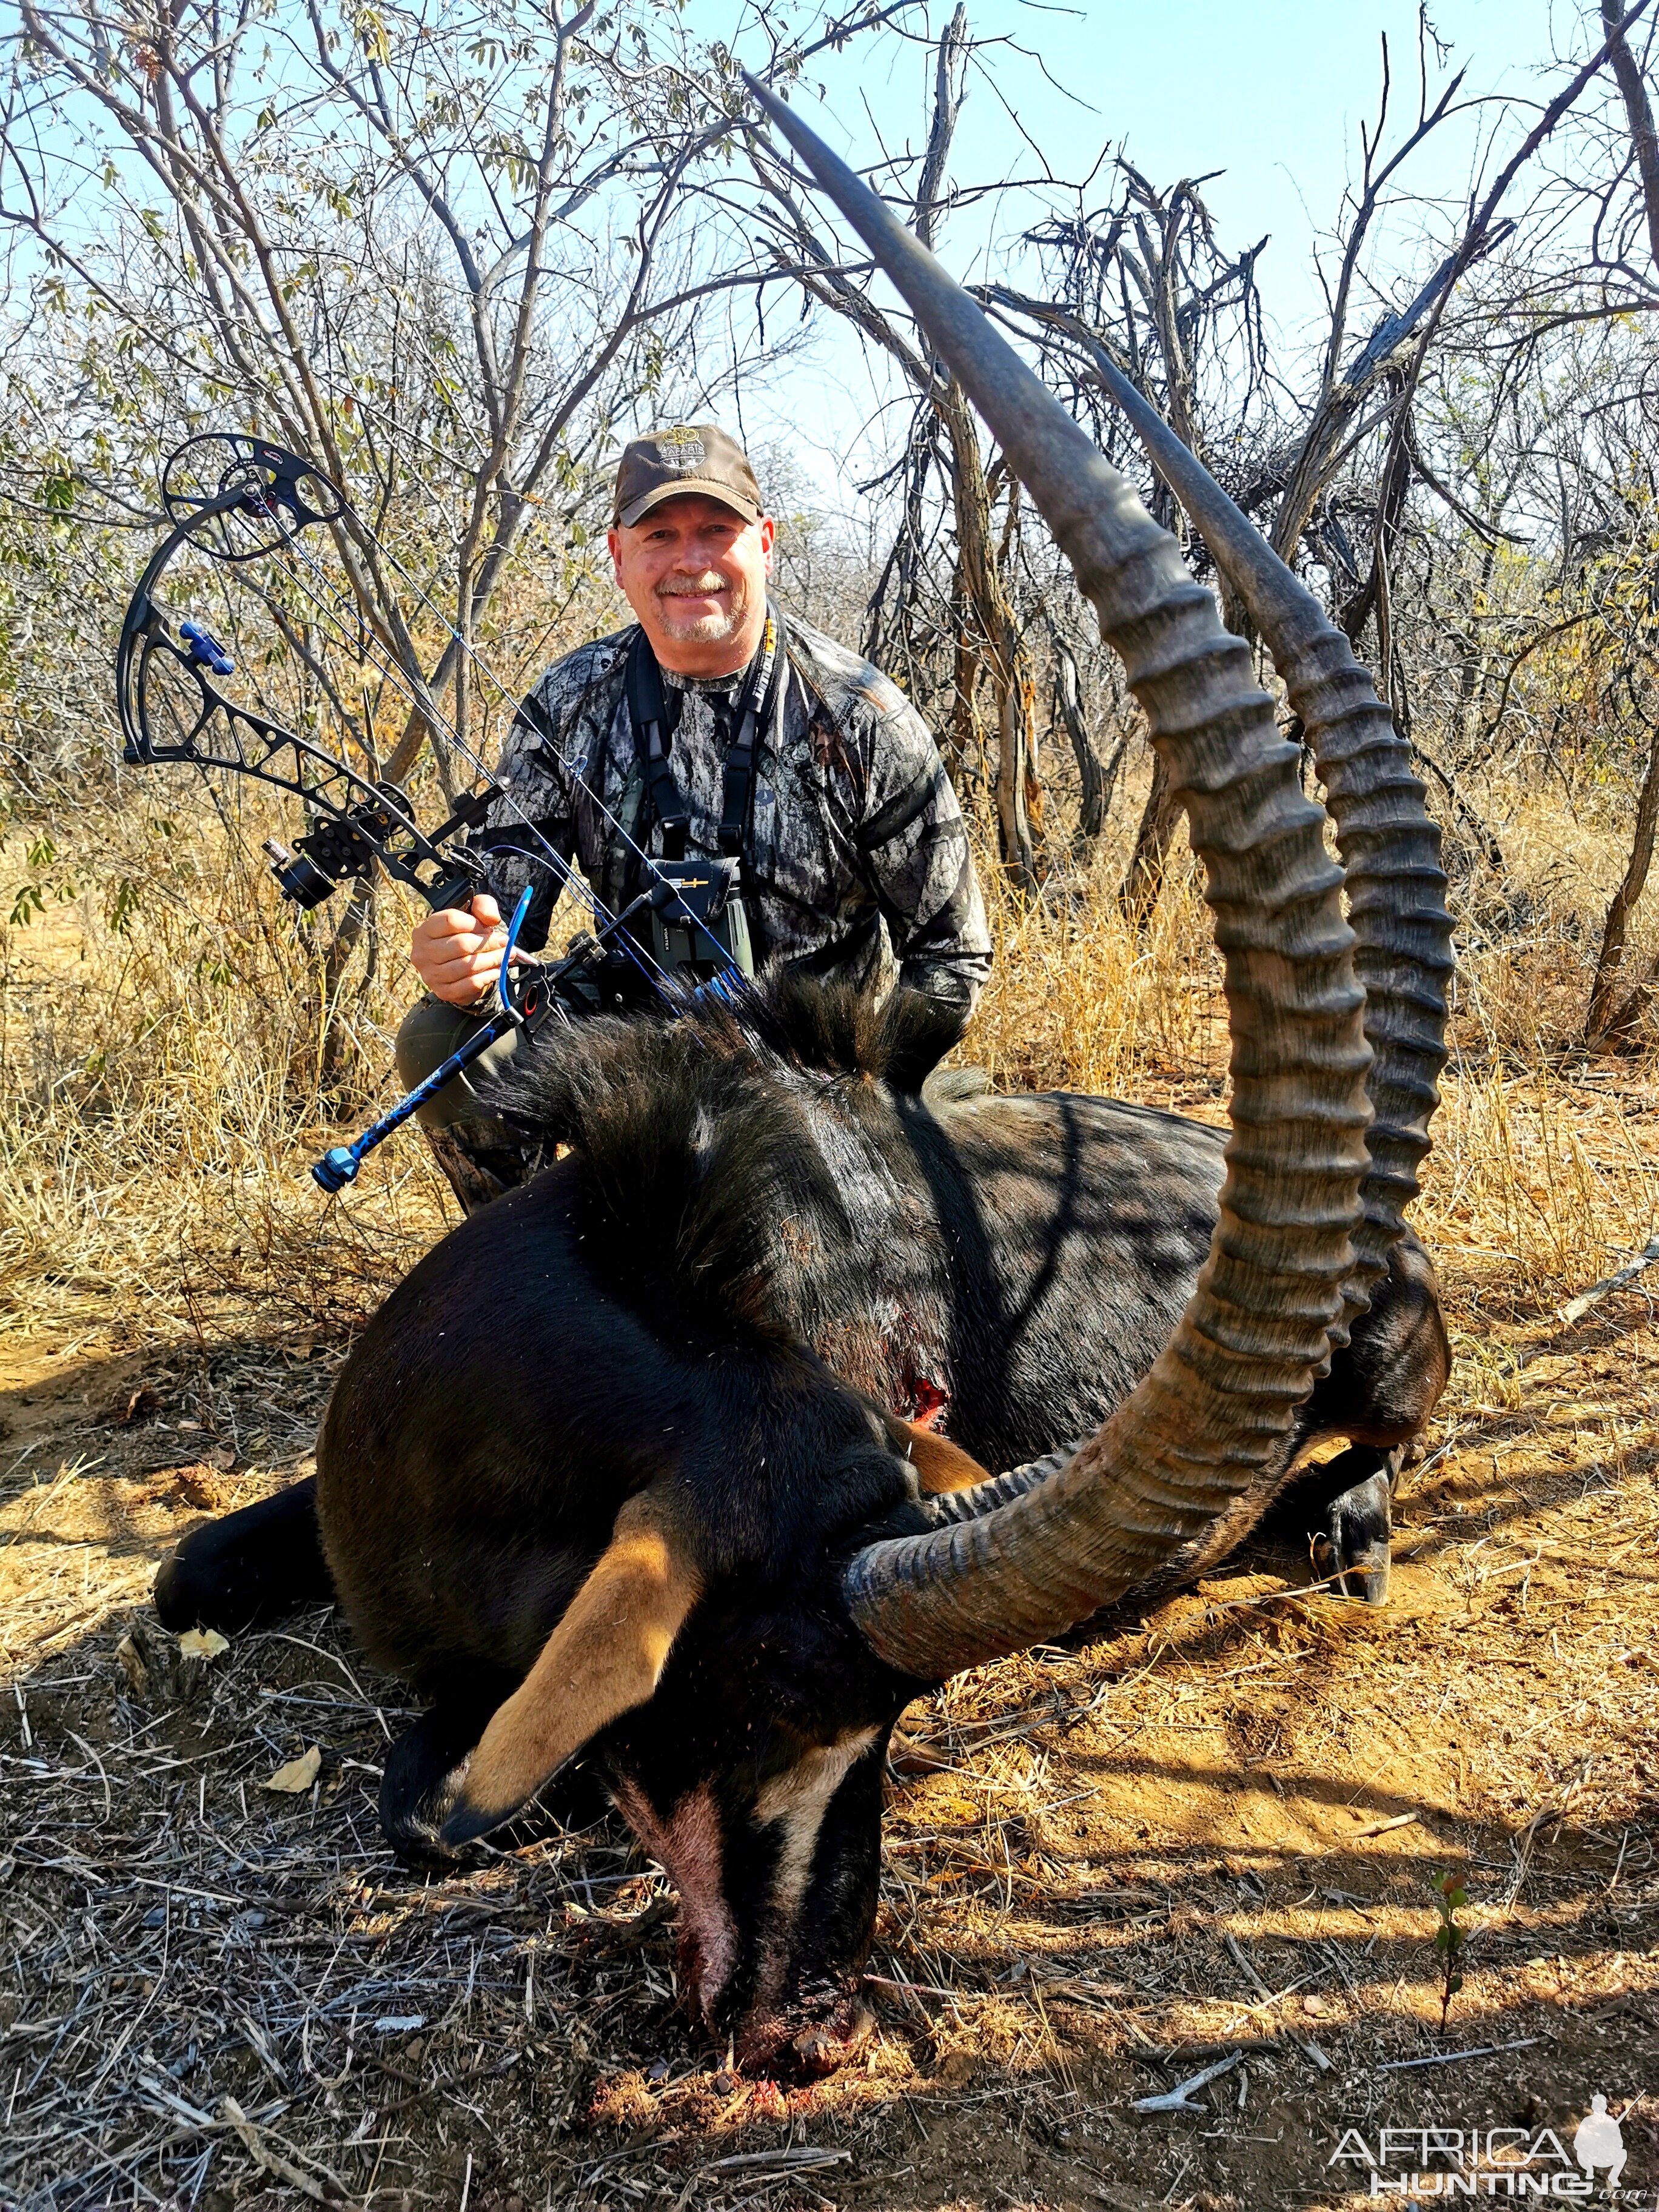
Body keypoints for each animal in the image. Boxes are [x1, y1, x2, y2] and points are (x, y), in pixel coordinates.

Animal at [159, 86, 1451, 2079]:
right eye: (760, 1685)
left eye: (890, 1724)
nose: (814, 2023)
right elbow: (180, 1583)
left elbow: (447, 1796)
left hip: (1398, 1371)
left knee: (1389, 1450)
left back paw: (1343, 1527)